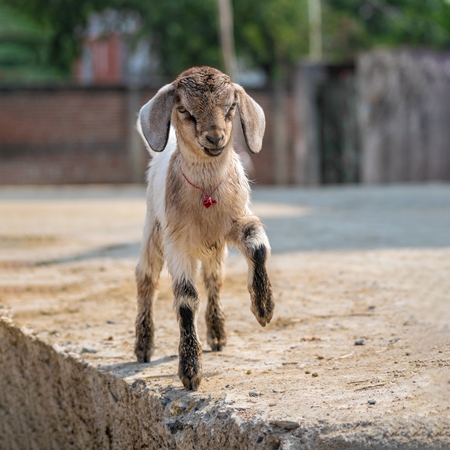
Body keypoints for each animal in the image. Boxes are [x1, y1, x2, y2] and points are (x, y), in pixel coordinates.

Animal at [134, 66, 274, 390]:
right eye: (184, 109)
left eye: (231, 107)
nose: (215, 138)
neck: (207, 195)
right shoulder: (176, 242)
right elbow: (186, 299)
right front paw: (190, 370)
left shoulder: (237, 220)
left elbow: (258, 247)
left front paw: (264, 308)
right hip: (153, 231)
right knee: (146, 278)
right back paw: (143, 346)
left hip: (214, 250)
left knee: (214, 280)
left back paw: (218, 334)